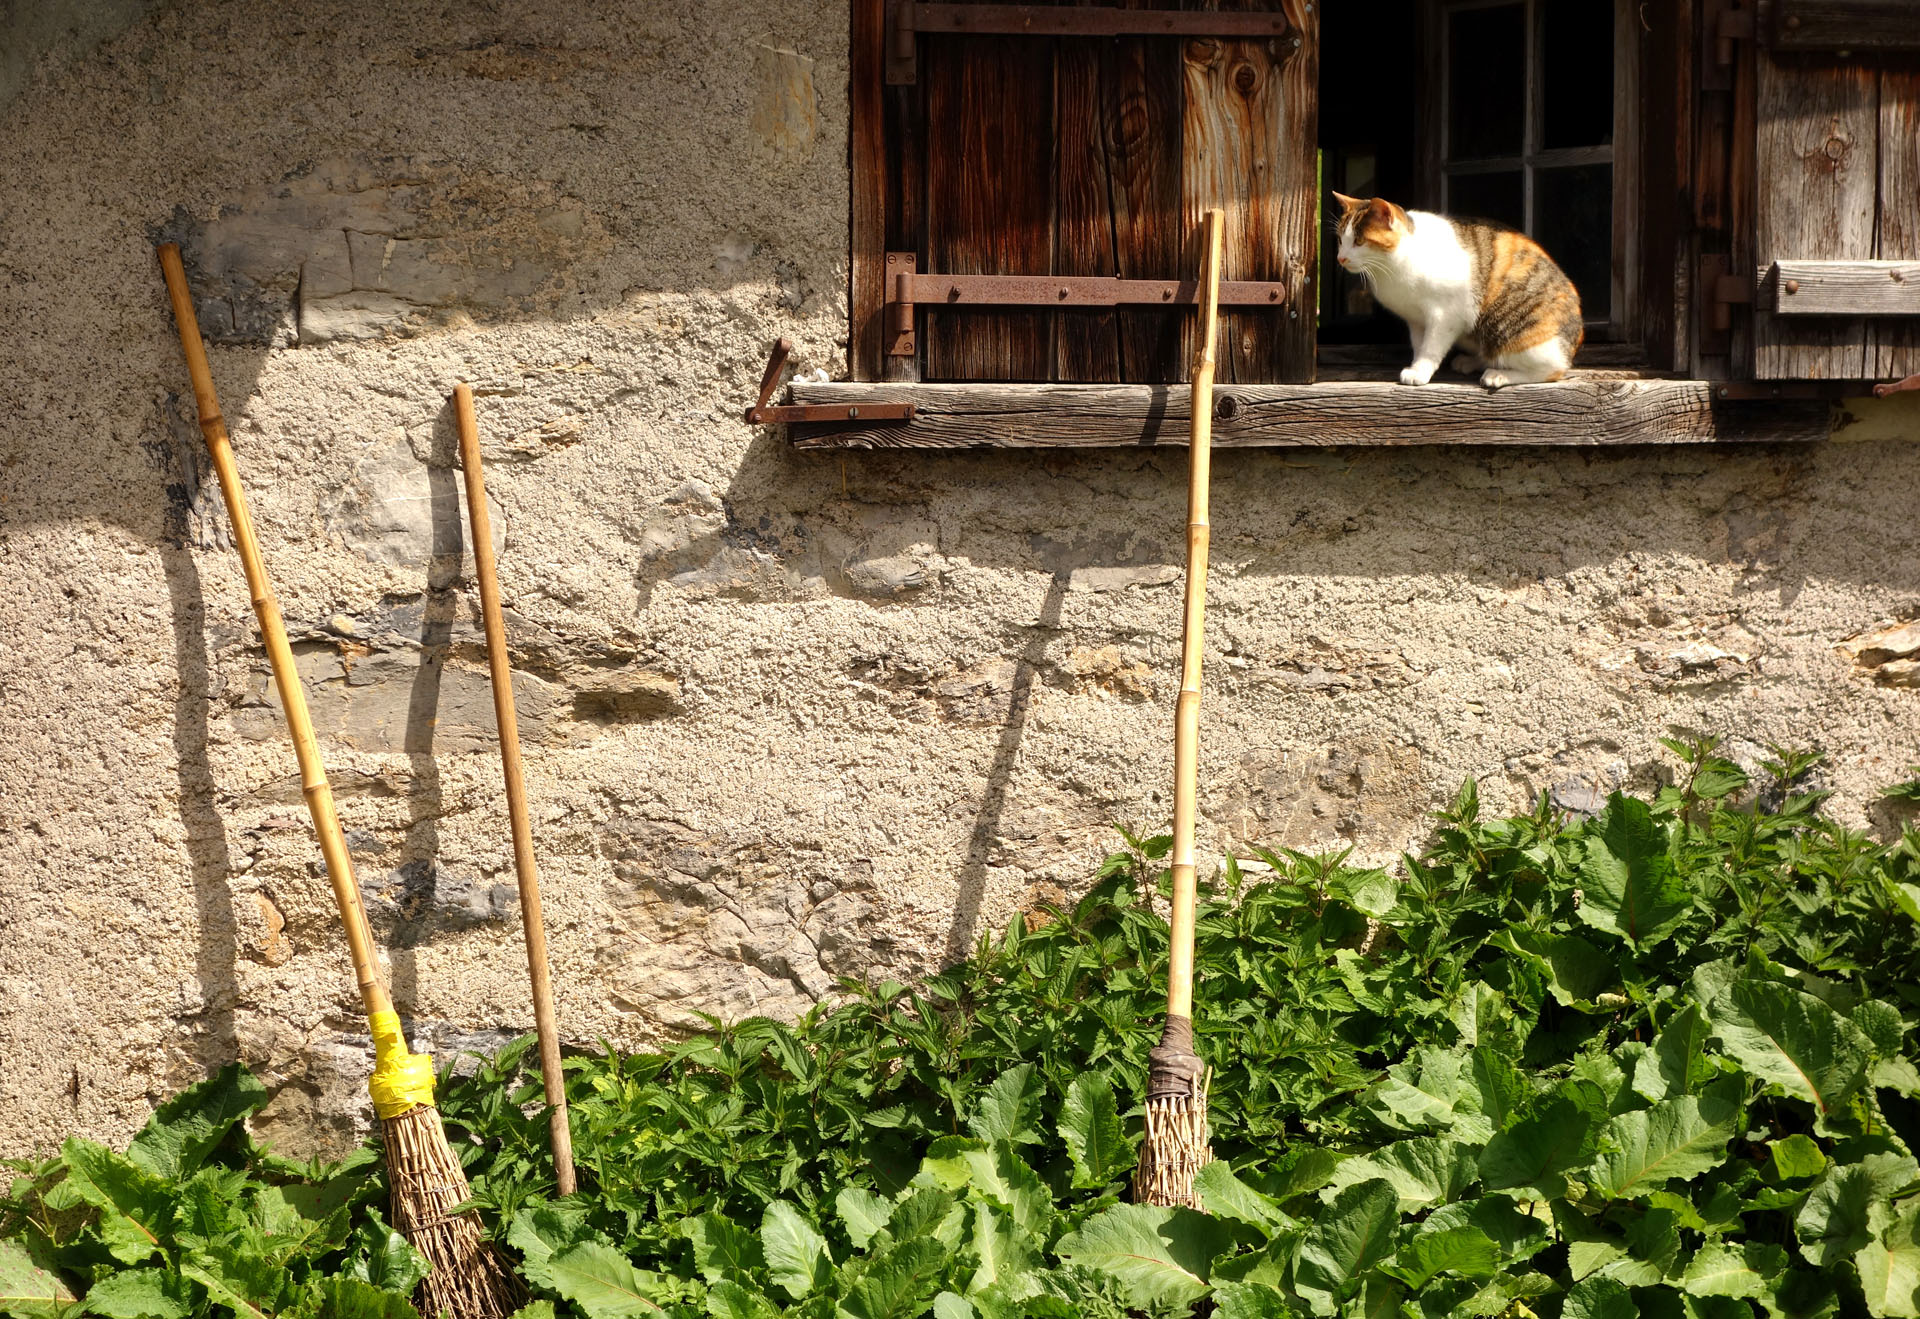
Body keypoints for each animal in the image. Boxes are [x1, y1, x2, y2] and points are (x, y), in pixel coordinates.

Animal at [1328, 191, 1582, 389]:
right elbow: (1420, 344)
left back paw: (1499, 374)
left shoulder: (1446, 315)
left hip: (1514, 332)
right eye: (1341, 240)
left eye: (1359, 241)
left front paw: (1419, 371)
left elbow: (1431, 347)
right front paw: (1418, 366)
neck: (1392, 266)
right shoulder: (1416, 319)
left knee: (1552, 370)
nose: (1341, 258)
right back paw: (1471, 362)